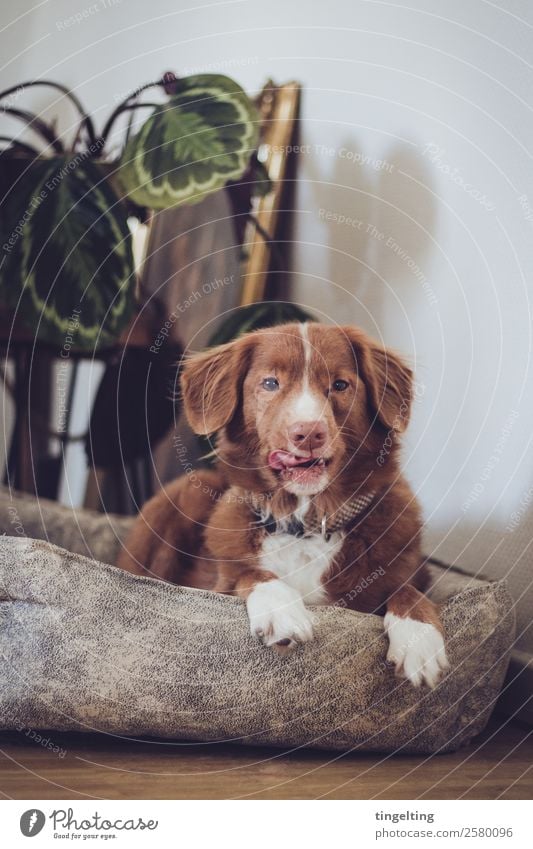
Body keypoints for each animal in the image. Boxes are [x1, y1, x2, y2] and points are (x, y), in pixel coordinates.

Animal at [117, 322, 448, 684]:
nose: (309, 433)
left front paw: (419, 638)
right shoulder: (217, 586)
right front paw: (282, 609)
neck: (305, 524)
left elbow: (407, 590)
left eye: (340, 385)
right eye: (270, 383)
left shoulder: (410, 573)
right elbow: (250, 573)